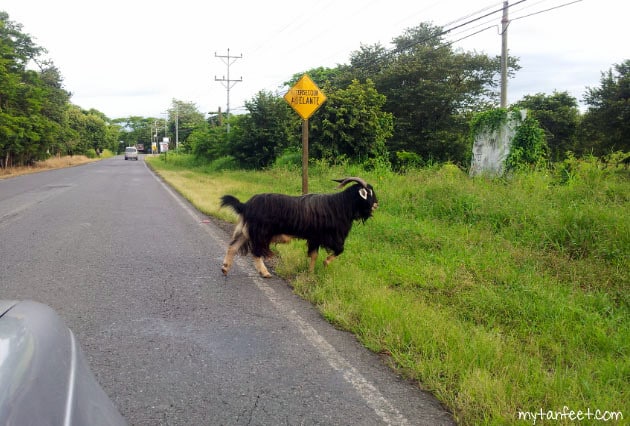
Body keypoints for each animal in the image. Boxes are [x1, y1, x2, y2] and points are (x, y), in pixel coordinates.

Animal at [222, 176, 380, 276]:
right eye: (369, 192)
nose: (376, 205)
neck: (340, 206)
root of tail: (245, 205)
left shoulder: (315, 238)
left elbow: (314, 255)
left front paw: (310, 273)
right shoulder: (329, 237)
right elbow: (339, 250)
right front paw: (325, 263)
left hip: (247, 231)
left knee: (233, 246)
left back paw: (225, 268)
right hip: (261, 233)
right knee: (256, 252)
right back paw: (265, 272)